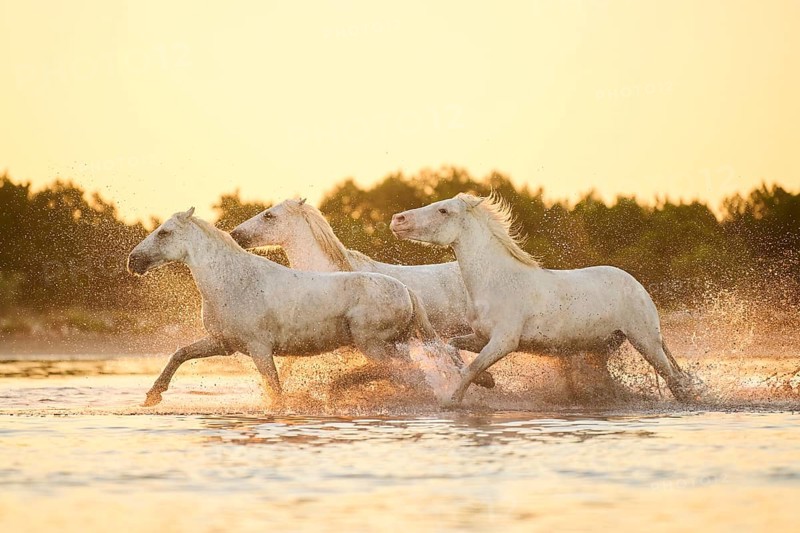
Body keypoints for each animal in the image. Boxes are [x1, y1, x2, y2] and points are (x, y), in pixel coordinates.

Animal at [127, 208, 491, 407]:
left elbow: (274, 387)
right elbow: (179, 354)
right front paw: (152, 396)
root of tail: (405, 290)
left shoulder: (259, 349)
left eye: (164, 232)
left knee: (402, 370)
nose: (133, 261)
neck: (234, 282)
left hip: (372, 344)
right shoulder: (224, 344)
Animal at [390, 192, 703, 405]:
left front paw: (453, 401)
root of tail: (637, 286)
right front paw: (487, 382)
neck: (497, 281)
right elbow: (454, 348)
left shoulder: (504, 342)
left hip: (645, 340)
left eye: (443, 210)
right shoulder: (481, 337)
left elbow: (471, 367)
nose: (397, 220)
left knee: (674, 380)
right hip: (602, 347)